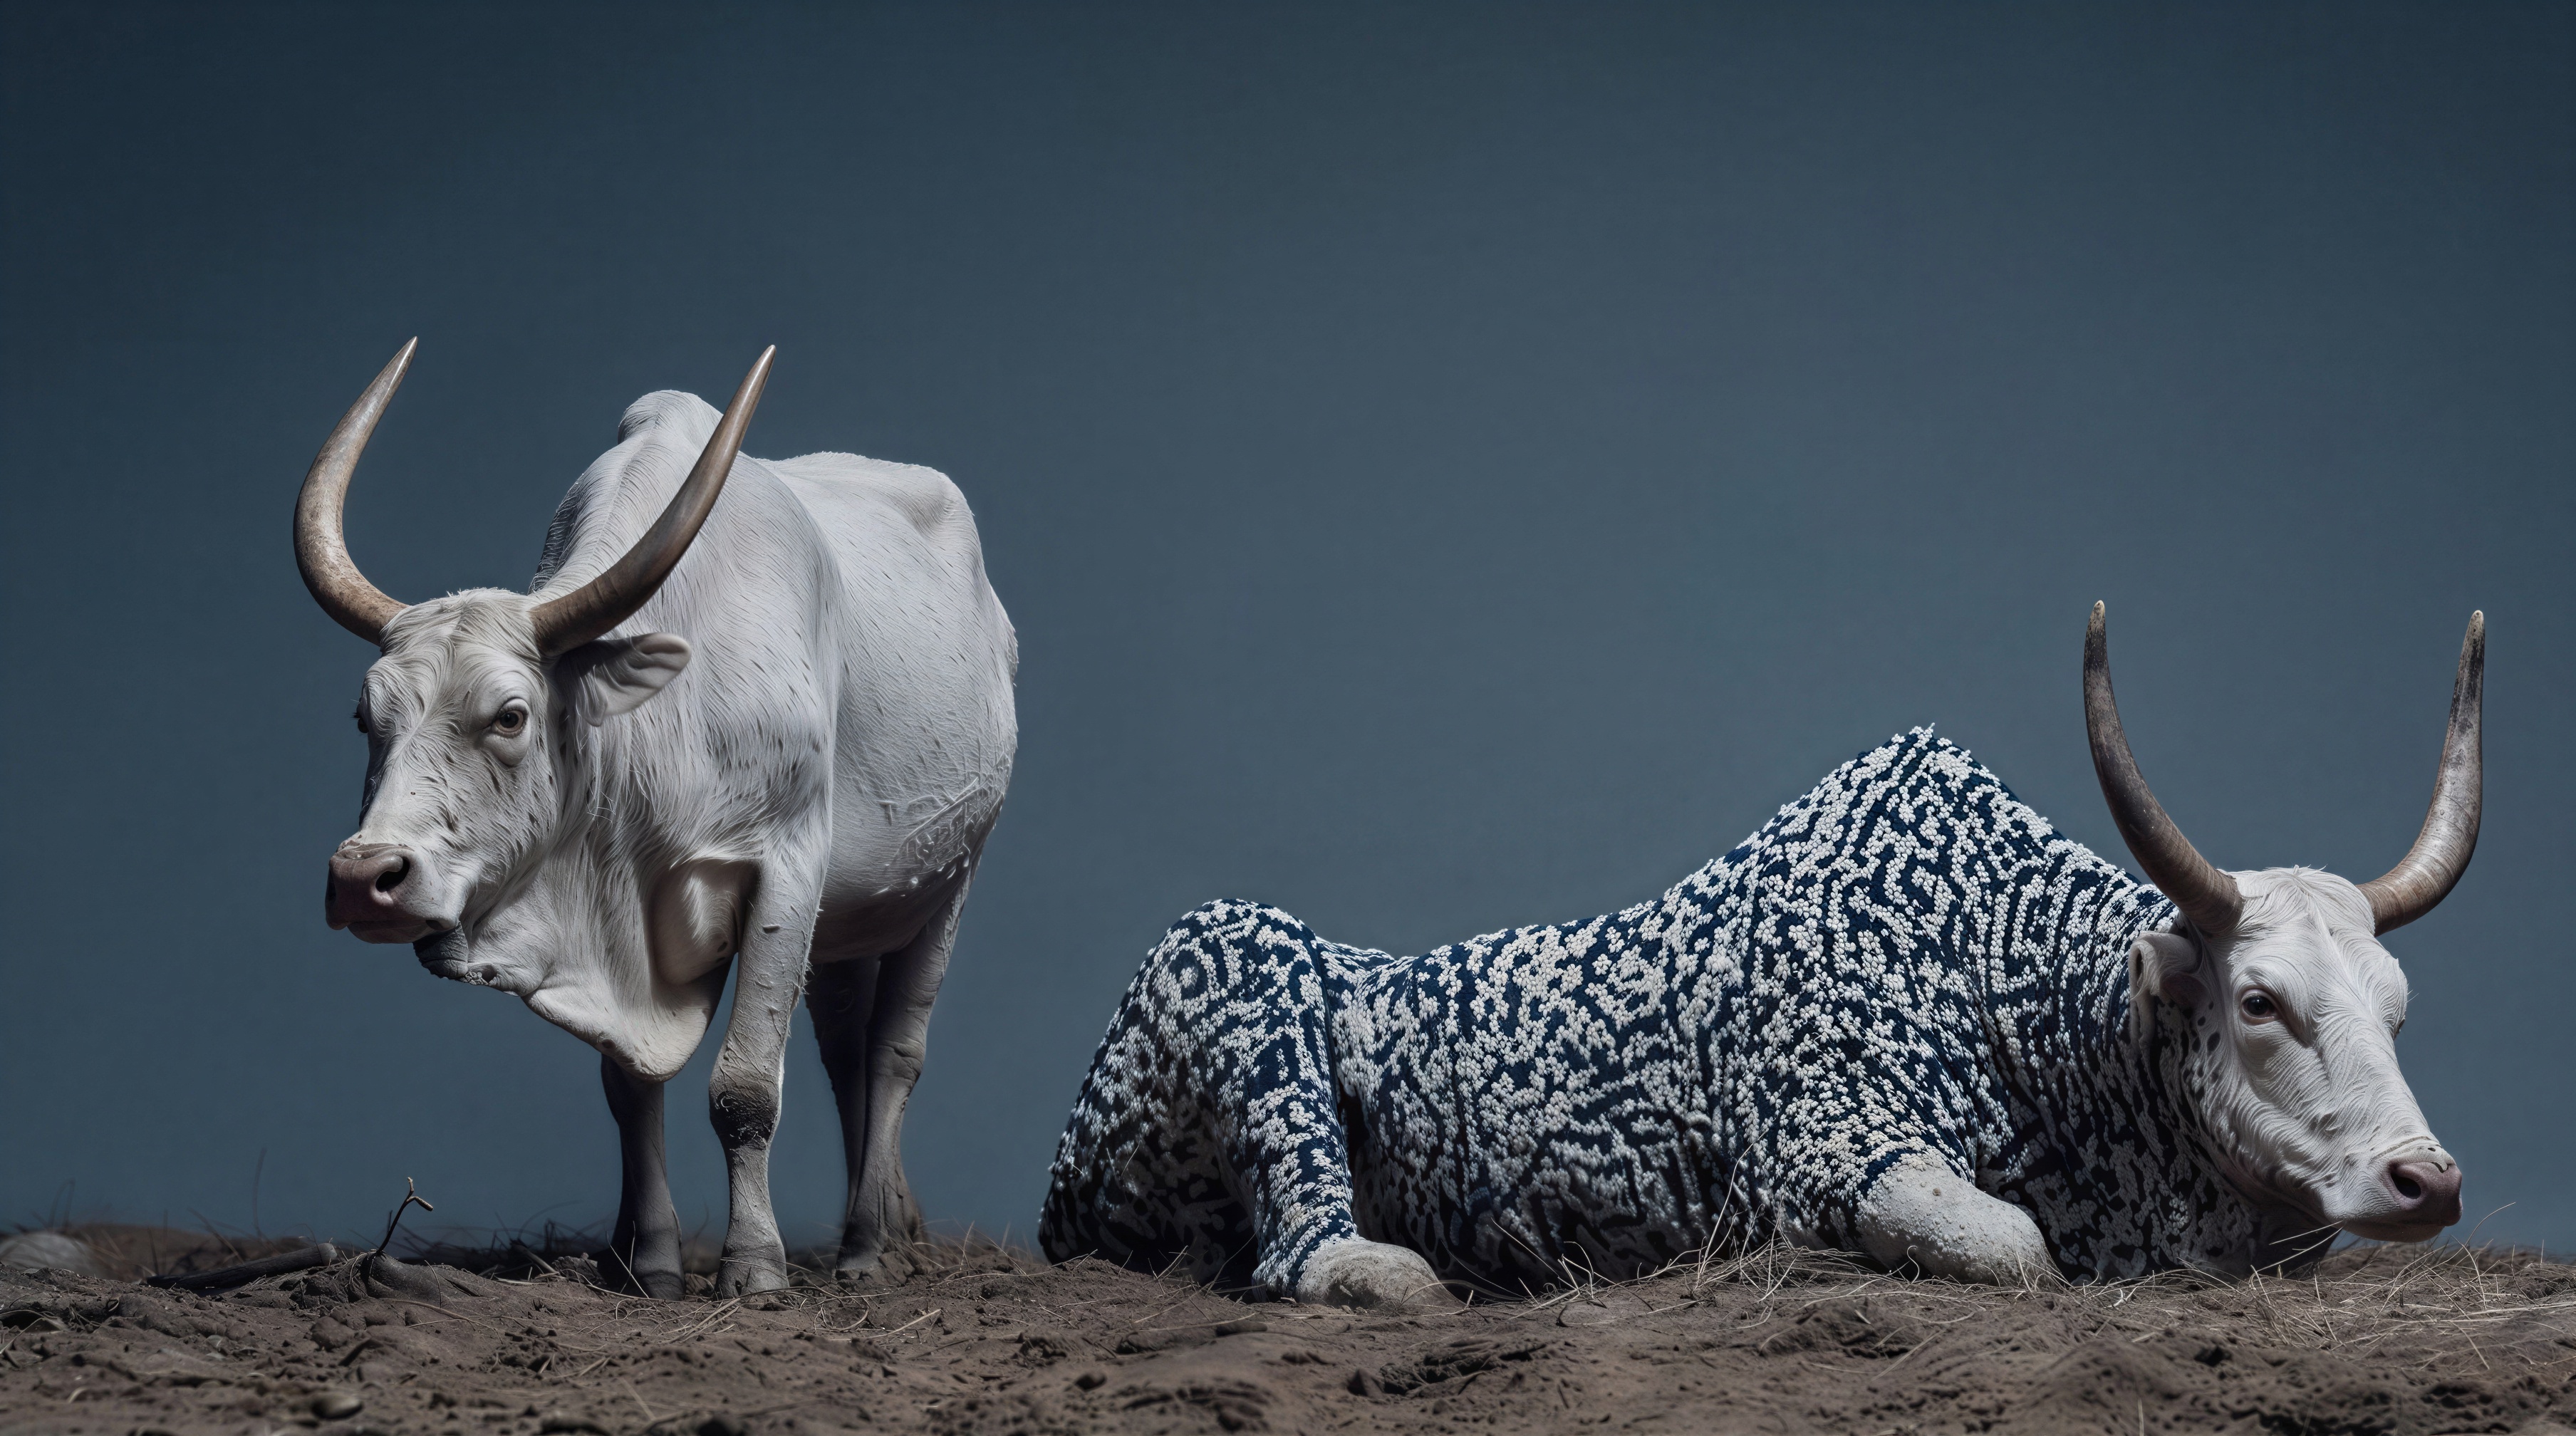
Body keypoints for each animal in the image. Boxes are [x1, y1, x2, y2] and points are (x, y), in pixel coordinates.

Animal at [294, 342, 1017, 1297]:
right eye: (362, 716)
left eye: (510, 715)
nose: (364, 879)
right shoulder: (618, 931)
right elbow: (631, 1091)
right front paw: (654, 1258)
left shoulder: (787, 869)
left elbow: (745, 1089)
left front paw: (754, 1265)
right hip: (852, 912)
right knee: (846, 1054)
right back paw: (887, 1225)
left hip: (947, 882)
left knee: (895, 1053)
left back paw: (865, 1248)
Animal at [1040, 606, 2480, 1305]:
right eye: (2259, 1001)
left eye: (2399, 1011)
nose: (2427, 1179)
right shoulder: (1831, 1149)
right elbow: (2010, 1249)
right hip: (1232, 951)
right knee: (1294, 1247)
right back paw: (1384, 1270)